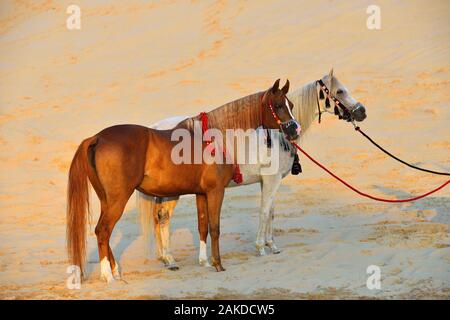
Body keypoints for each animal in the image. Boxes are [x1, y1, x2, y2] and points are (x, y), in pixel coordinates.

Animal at [67, 79, 298, 282]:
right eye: (278, 105)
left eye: (292, 105)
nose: (294, 129)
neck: (214, 138)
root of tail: (97, 137)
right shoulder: (216, 191)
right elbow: (215, 227)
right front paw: (218, 264)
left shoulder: (201, 193)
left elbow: (203, 226)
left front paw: (205, 262)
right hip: (118, 199)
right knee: (103, 231)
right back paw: (108, 276)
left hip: (107, 200)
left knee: (104, 232)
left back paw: (116, 272)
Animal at [136, 69, 366, 268]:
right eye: (340, 91)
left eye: (291, 105)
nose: (361, 111)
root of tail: (155, 128)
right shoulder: (272, 179)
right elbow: (264, 211)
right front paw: (261, 248)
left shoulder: (269, 181)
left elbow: (271, 211)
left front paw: (272, 245)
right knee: (163, 218)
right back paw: (170, 259)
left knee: (160, 219)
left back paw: (166, 258)